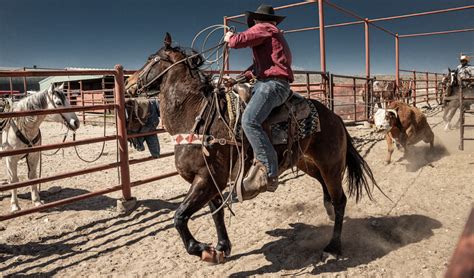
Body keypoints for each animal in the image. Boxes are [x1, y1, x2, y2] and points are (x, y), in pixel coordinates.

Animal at [125, 32, 382, 262]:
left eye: (150, 58)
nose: (128, 83)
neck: (195, 116)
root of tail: (335, 118)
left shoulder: (206, 178)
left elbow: (179, 217)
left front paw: (202, 249)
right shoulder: (211, 181)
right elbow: (216, 212)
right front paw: (221, 247)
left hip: (331, 165)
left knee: (340, 200)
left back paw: (333, 247)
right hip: (307, 162)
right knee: (326, 189)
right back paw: (327, 212)